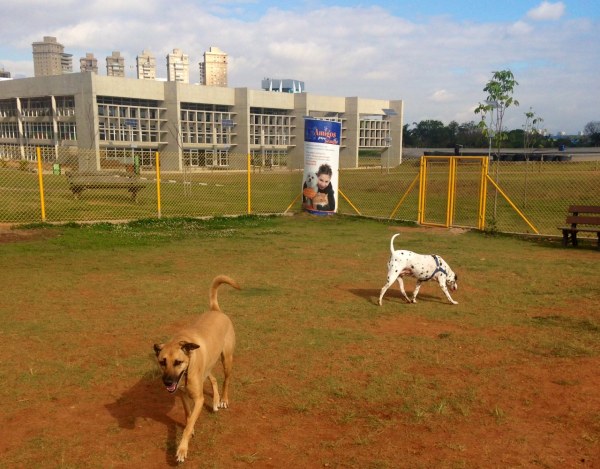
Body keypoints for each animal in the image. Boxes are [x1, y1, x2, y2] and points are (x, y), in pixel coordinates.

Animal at [154, 274, 240, 460]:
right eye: (162, 362)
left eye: (178, 362)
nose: (167, 382)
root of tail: (216, 310)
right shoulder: (183, 394)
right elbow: (188, 416)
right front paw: (190, 427)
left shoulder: (199, 399)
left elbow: (189, 423)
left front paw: (182, 449)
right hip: (207, 366)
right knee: (214, 378)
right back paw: (215, 401)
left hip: (226, 359)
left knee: (226, 380)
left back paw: (223, 399)